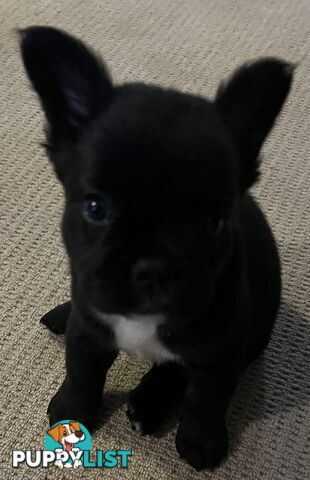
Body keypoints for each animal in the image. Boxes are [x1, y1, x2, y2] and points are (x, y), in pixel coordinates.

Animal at [20, 25, 294, 468]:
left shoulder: (220, 352)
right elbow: (81, 370)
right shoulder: (89, 330)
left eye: (213, 222)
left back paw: (148, 403)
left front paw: (201, 442)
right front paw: (71, 412)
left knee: (173, 372)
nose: (153, 265)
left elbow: (205, 399)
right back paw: (64, 315)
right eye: (95, 207)